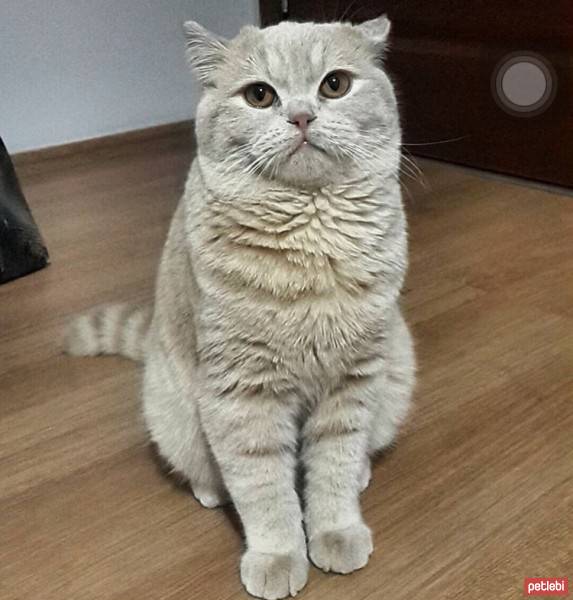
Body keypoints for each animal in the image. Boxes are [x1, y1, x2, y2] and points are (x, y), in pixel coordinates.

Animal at [65, 15, 416, 600]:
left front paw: (336, 530)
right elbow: (265, 490)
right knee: (209, 474)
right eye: (259, 95)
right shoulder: (241, 394)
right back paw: (213, 491)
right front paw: (277, 556)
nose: (301, 115)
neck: (311, 247)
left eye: (334, 85)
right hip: (174, 412)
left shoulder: (354, 380)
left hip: (397, 372)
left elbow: (334, 466)